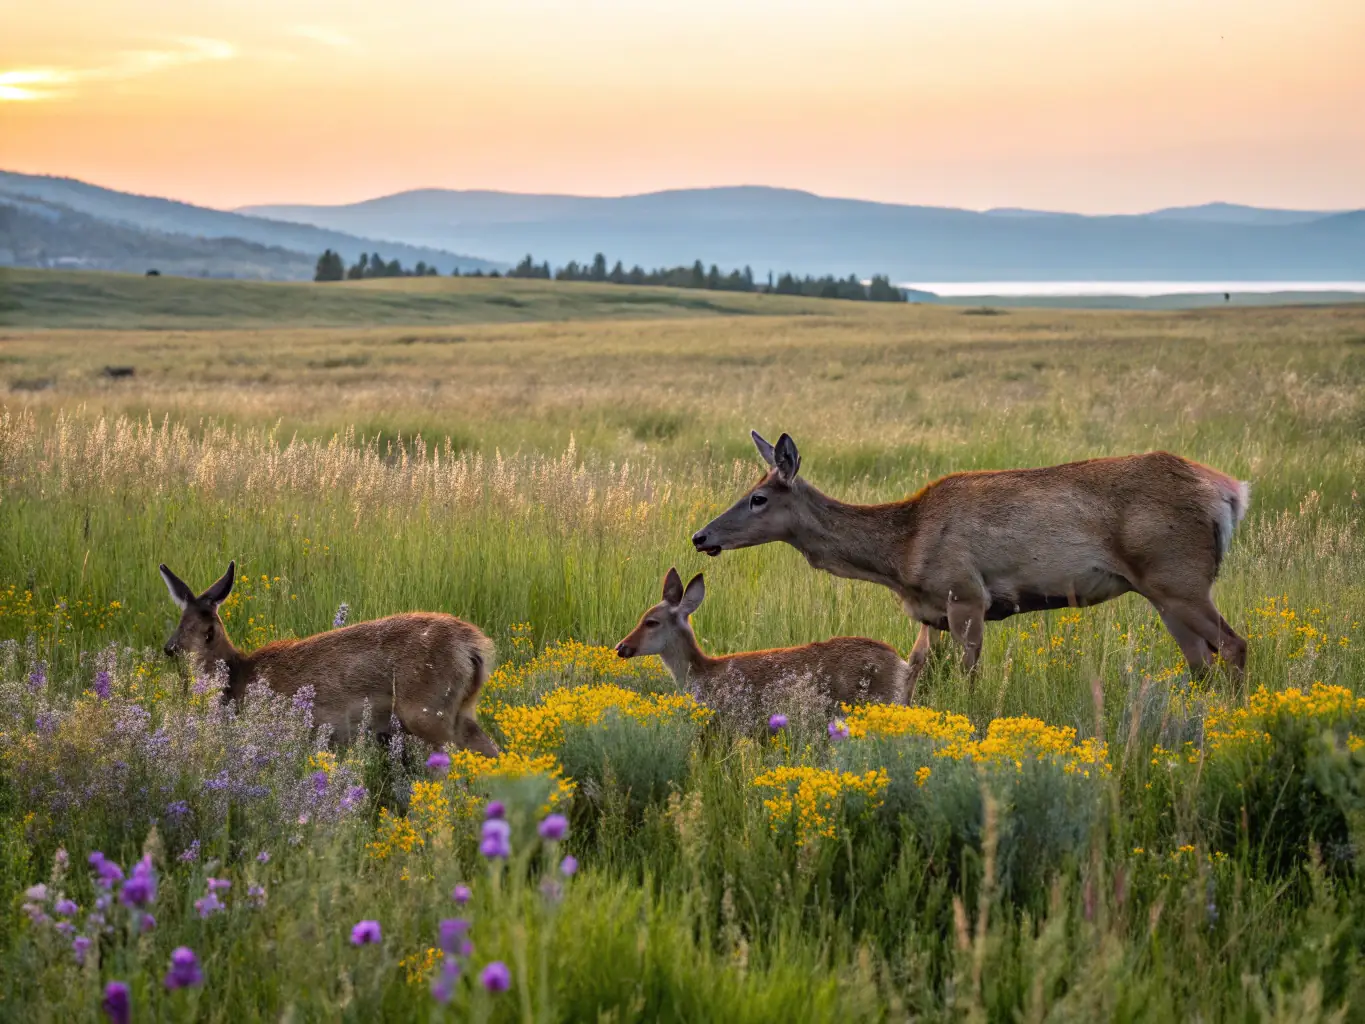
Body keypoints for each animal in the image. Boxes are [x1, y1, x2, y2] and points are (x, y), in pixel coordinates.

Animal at [158, 561, 499, 757]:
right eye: (181, 620)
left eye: (208, 630)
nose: (170, 648)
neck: (238, 675)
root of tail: (473, 648)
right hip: (461, 711)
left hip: (427, 712)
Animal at [690, 431, 1250, 700]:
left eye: (759, 498)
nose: (701, 536)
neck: (902, 552)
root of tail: (1230, 492)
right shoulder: (931, 614)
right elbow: (911, 675)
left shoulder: (966, 594)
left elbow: (969, 677)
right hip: (1164, 592)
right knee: (1202, 663)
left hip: (1178, 577)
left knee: (1235, 646)